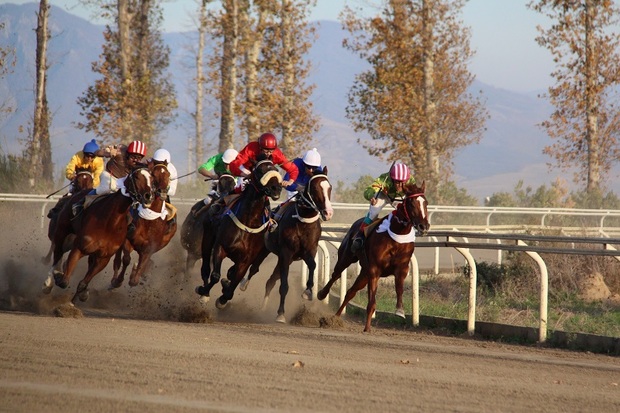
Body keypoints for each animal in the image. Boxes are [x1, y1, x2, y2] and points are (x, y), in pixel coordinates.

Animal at [42, 166, 155, 300]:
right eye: (137, 177)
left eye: (151, 178)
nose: (148, 197)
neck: (110, 222)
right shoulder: (80, 247)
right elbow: (64, 281)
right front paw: (59, 276)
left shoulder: (103, 258)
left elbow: (83, 283)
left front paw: (78, 297)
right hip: (62, 231)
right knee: (57, 254)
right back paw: (49, 282)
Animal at [196, 158, 284, 306]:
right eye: (260, 171)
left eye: (276, 170)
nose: (276, 189)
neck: (248, 223)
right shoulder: (221, 247)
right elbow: (215, 276)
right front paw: (204, 291)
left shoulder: (246, 260)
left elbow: (233, 284)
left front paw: (223, 299)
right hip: (208, 237)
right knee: (206, 267)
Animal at [240, 167, 334, 322]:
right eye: (315, 188)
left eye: (329, 187)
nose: (328, 213)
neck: (302, 223)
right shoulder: (286, 252)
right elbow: (284, 286)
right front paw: (281, 314)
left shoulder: (309, 251)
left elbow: (313, 265)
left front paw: (308, 291)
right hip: (266, 251)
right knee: (254, 268)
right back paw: (243, 285)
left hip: (284, 260)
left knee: (270, 281)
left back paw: (263, 307)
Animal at [318, 181, 428, 332]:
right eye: (411, 203)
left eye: (426, 203)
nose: (424, 226)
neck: (396, 236)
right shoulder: (375, 270)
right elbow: (372, 302)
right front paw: (367, 328)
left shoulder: (401, 269)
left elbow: (399, 289)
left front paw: (400, 310)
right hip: (347, 258)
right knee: (336, 275)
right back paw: (322, 295)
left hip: (364, 273)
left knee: (350, 292)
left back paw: (335, 318)